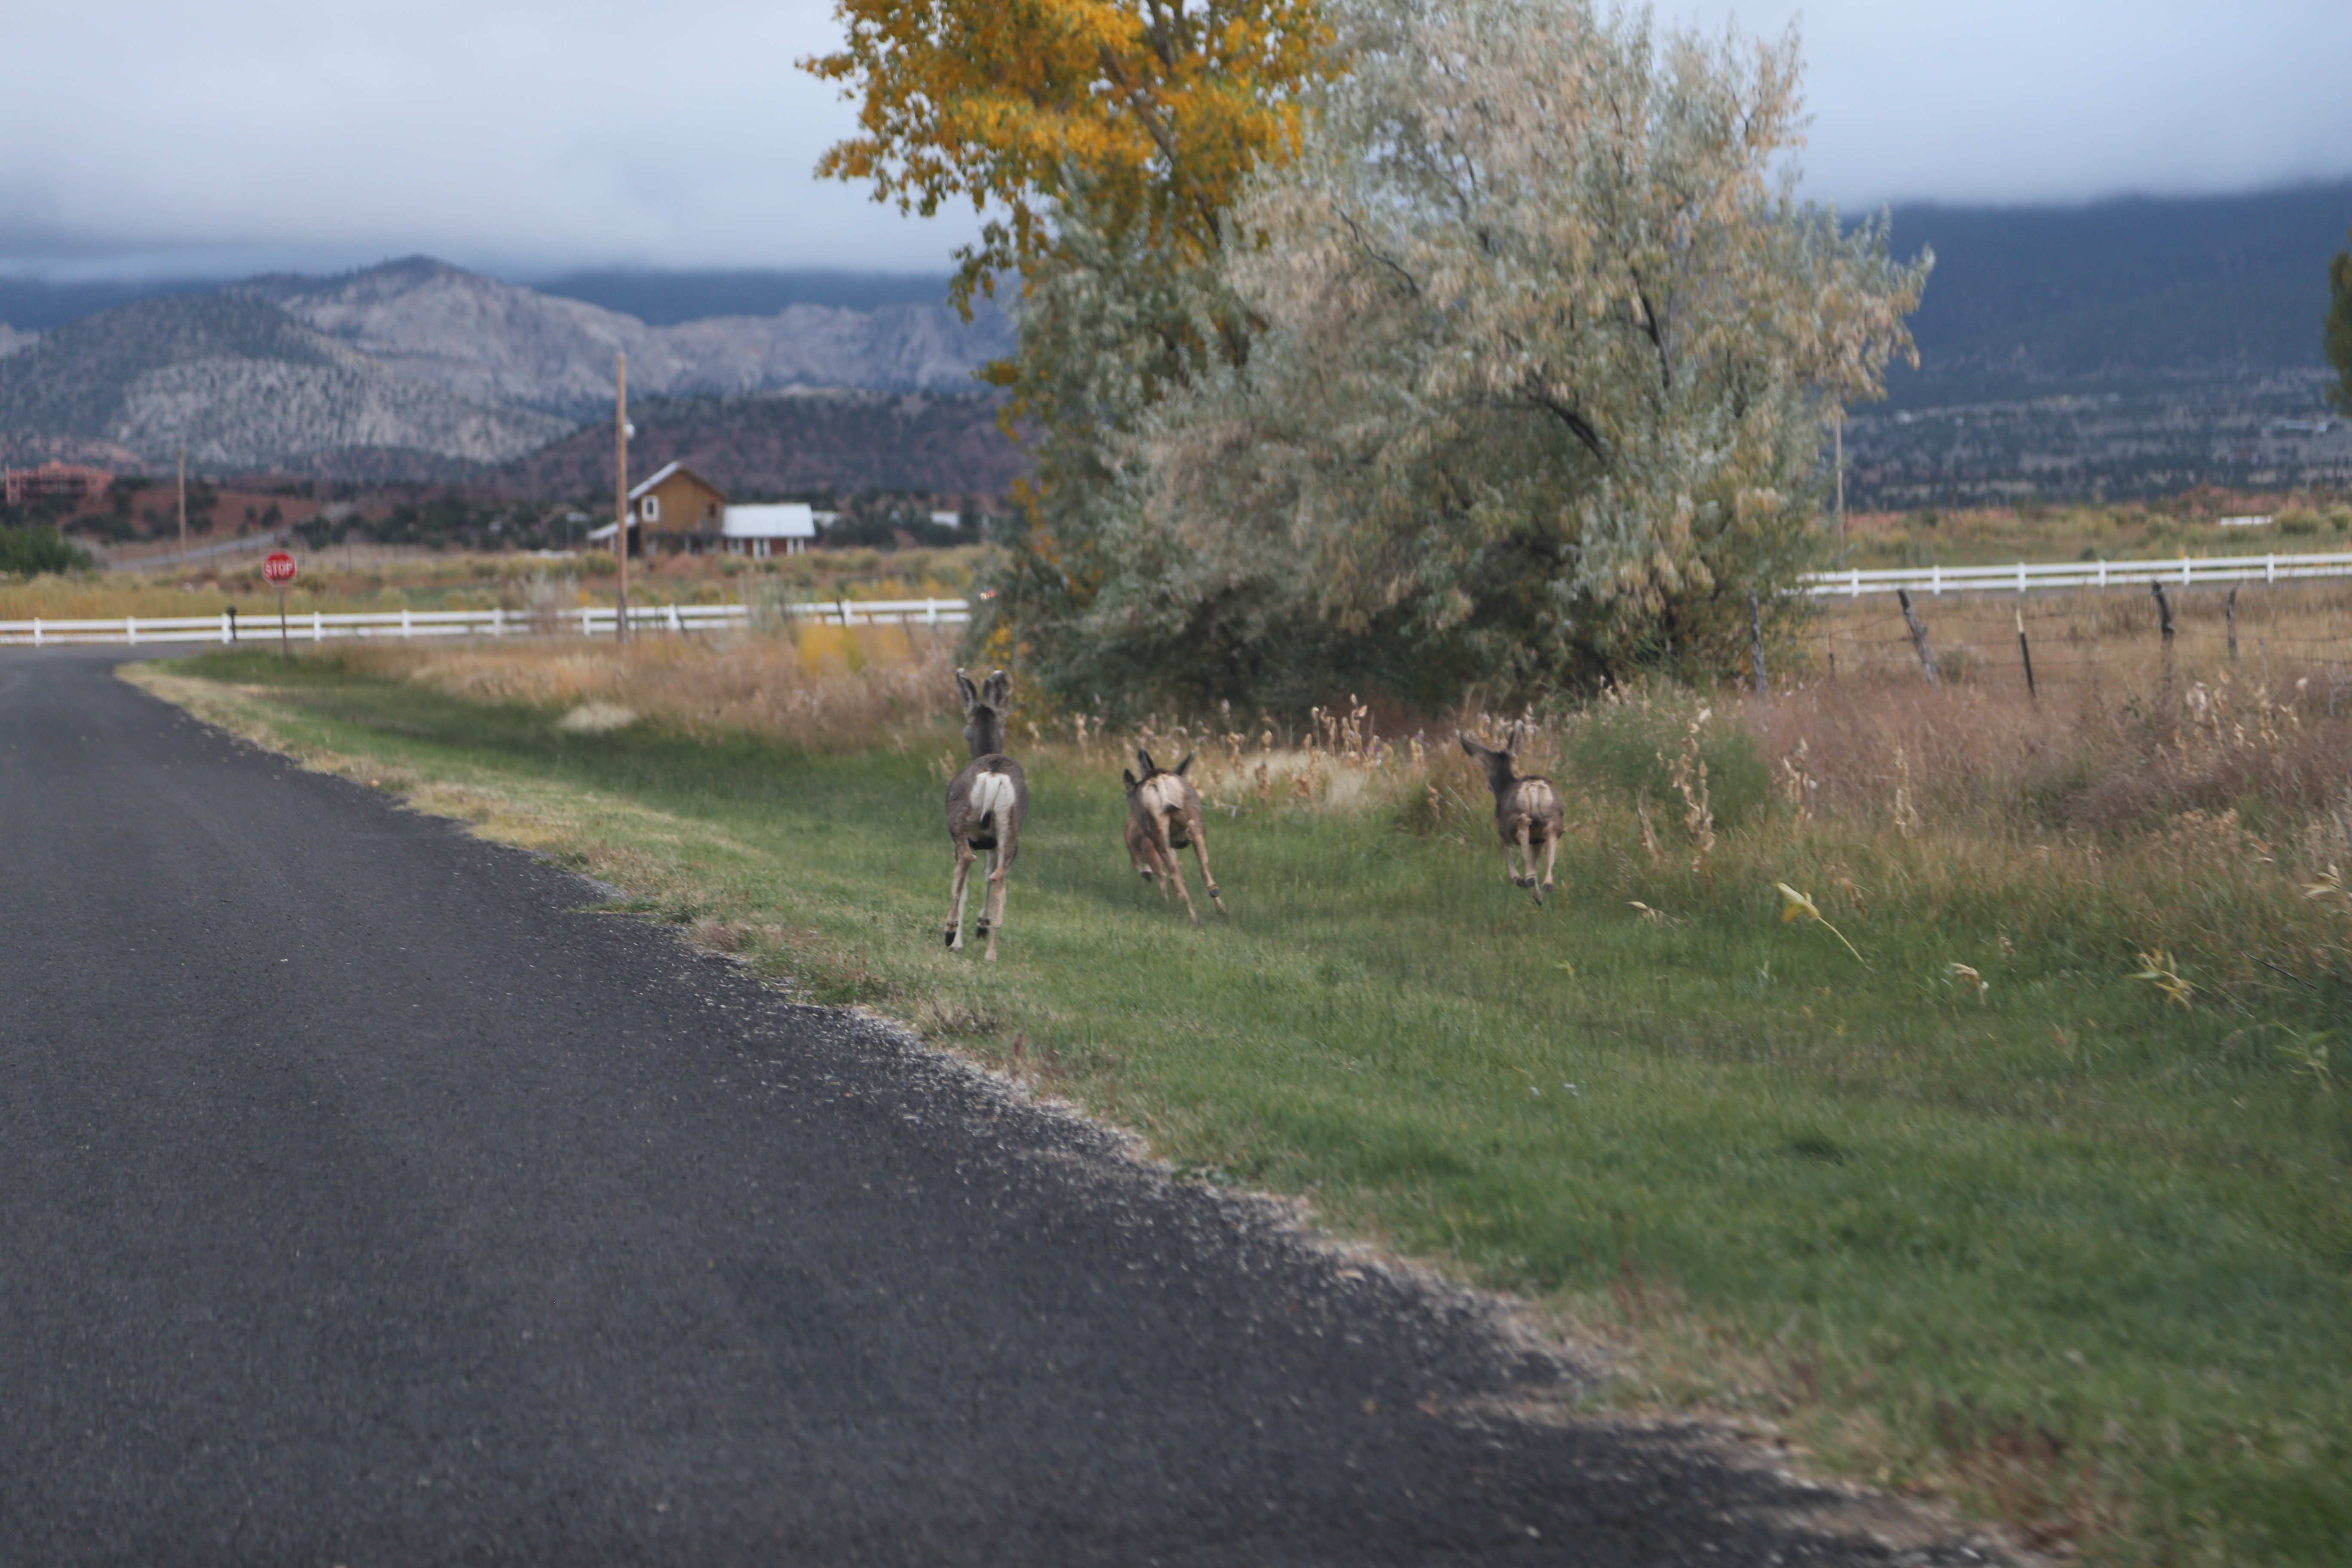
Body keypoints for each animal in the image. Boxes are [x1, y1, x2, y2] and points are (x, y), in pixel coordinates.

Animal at [940, 668, 1025, 964]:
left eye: (967, 730)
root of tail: (994, 772)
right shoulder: (992, 841)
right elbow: (988, 874)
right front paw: (982, 925)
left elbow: (964, 885)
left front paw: (959, 939)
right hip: (1010, 826)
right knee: (999, 876)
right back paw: (991, 953)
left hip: (960, 821)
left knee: (966, 862)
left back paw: (950, 933)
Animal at [1124, 752, 1232, 926]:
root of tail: (1158, 779)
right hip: (1194, 822)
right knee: (1204, 869)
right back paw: (1221, 911)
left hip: (1158, 832)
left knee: (1174, 874)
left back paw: (1191, 917)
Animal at [1449, 724, 1562, 907]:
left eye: (1487, 769)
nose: (1489, 786)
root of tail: (1533, 786)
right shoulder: (1536, 840)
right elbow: (1534, 858)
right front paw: (1537, 895)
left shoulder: (1502, 827)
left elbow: (1504, 846)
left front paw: (1519, 879)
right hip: (1554, 814)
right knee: (1551, 835)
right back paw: (1547, 883)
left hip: (1512, 818)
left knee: (1521, 826)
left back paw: (1528, 879)